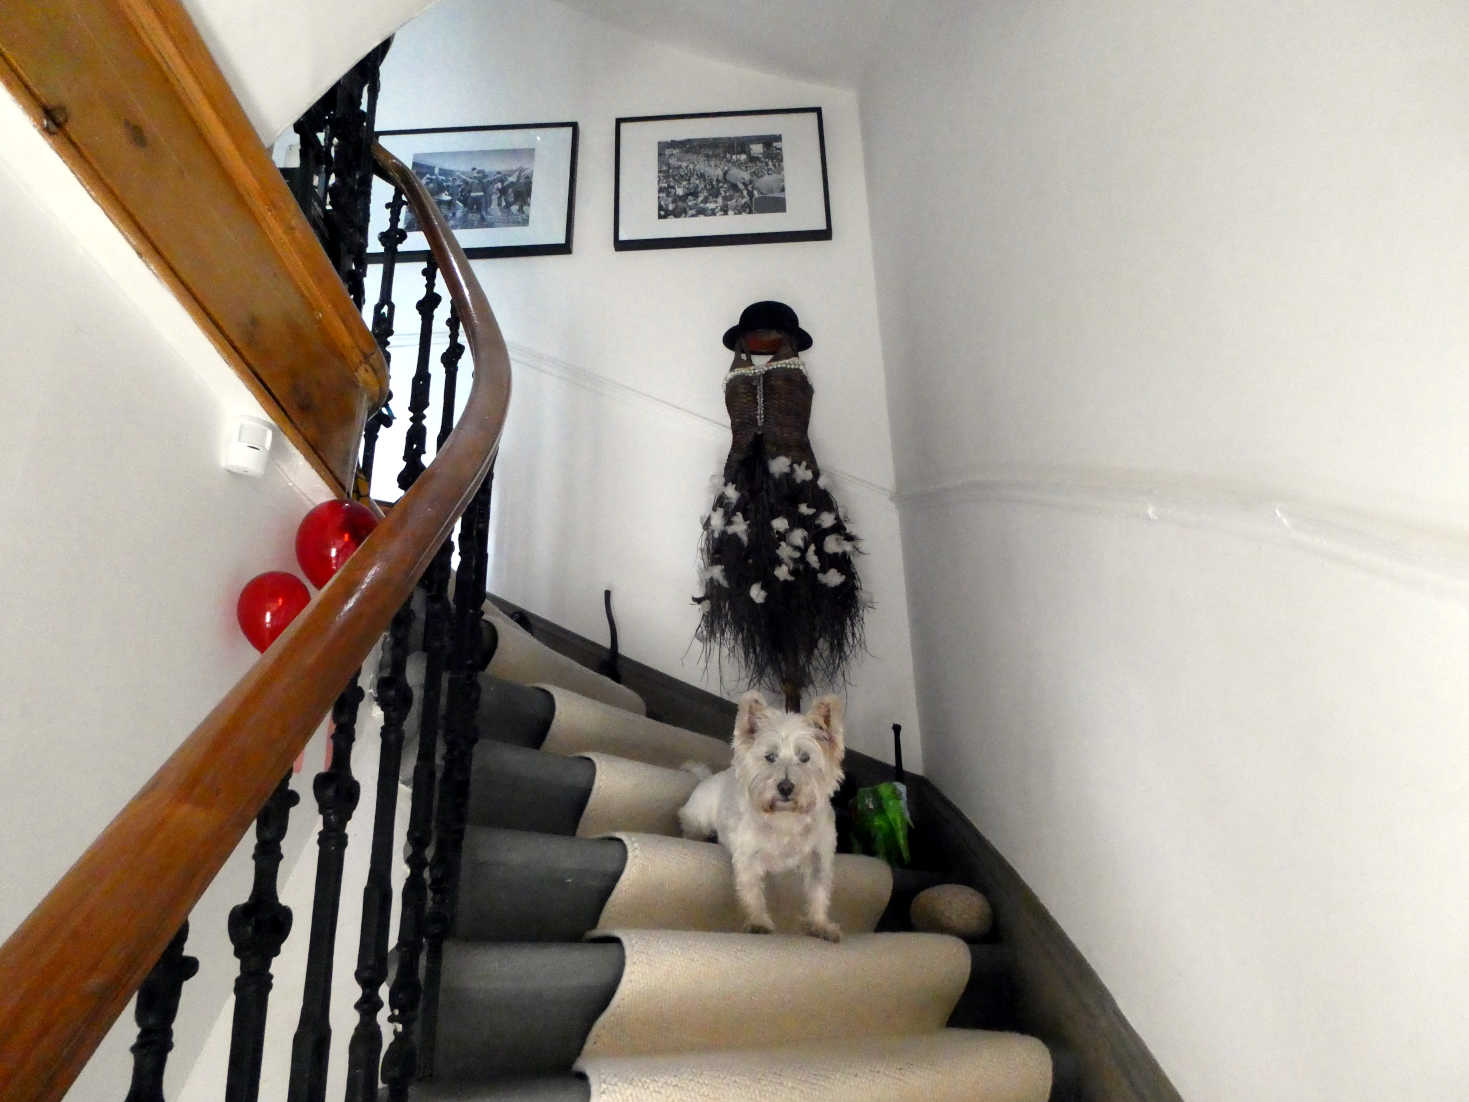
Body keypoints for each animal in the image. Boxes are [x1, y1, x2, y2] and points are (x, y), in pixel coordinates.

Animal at [678, 690, 852, 940]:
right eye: (770, 757)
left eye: (805, 758)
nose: (786, 787)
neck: (786, 818)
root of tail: (706, 779)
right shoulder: (747, 856)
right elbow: (752, 892)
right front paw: (758, 922)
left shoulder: (820, 858)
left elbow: (819, 893)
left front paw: (821, 925)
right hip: (698, 820)